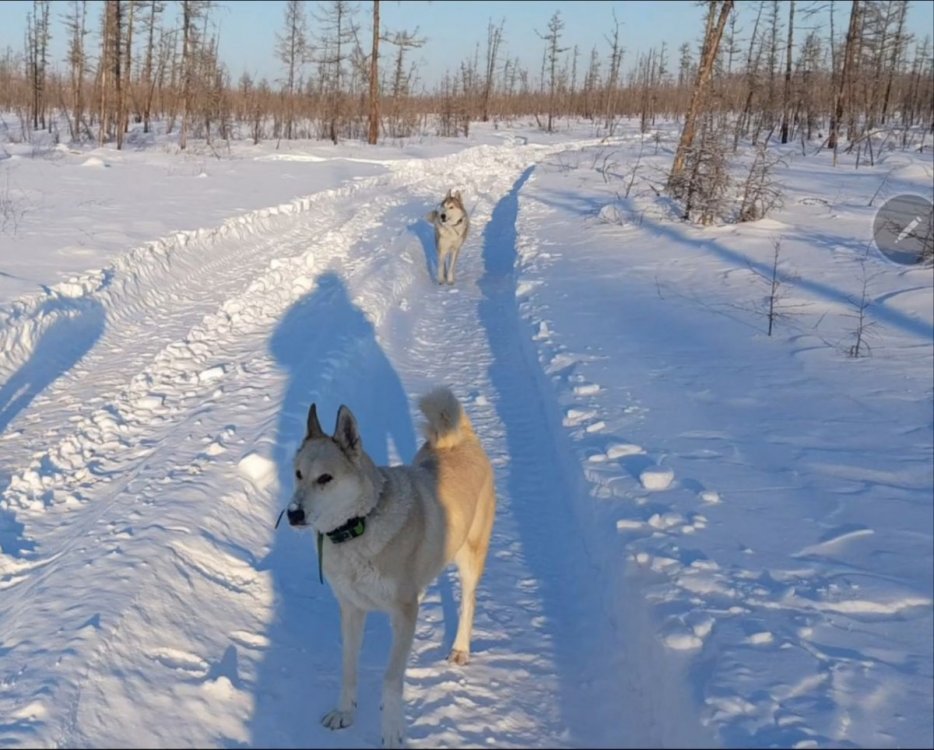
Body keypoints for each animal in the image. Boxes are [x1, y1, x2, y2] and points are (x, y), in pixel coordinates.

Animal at [286, 384, 498, 748]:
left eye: (325, 478)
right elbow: (348, 667)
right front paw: (345, 712)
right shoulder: (351, 609)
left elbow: (390, 678)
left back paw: (460, 649)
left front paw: (392, 728)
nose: (293, 514)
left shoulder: (403, 611)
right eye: (298, 474)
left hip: (470, 555)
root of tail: (460, 438)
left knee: (468, 603)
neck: (360, 524)